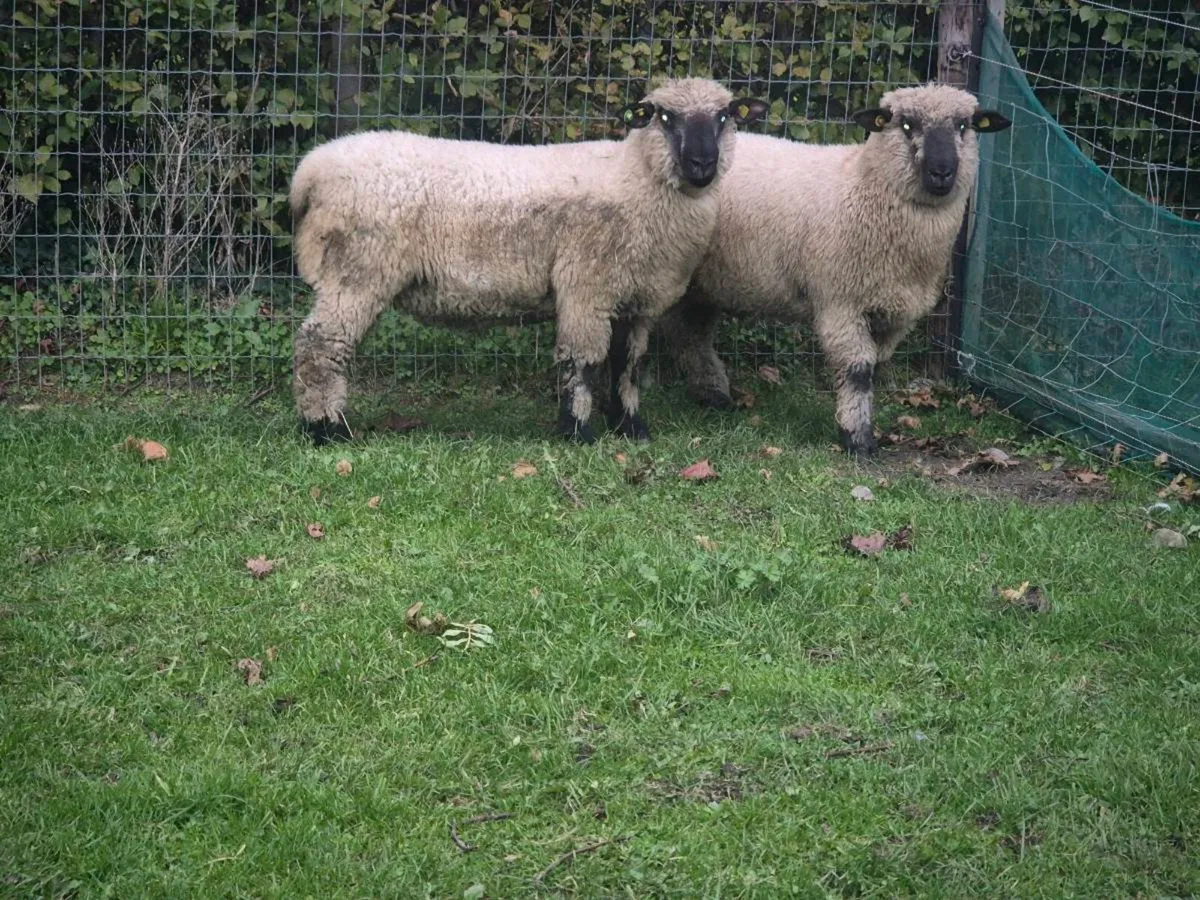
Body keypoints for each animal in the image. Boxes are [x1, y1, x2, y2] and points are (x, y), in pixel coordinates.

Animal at [288, 78, 768, 446]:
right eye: (664, 117)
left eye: (724, 117)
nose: (702, 164)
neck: (638, 180)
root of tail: (312, 169)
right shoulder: (585, 286)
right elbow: (582, 363)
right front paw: (577, 432)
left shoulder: (633, 296)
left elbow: (627, 364)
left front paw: (630, 428)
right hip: (357, 270)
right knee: (320, 346)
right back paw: (326, 429)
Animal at [657, 83, 1012, 457]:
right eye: (906, 125)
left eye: (964, 125)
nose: (942, 172)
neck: (865, 184)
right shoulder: (840, 302)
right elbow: (858, 369)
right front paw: (857, 439)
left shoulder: (895, 314)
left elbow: (876, 367)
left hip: (702, 282)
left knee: (690, 334)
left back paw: (713, 395)